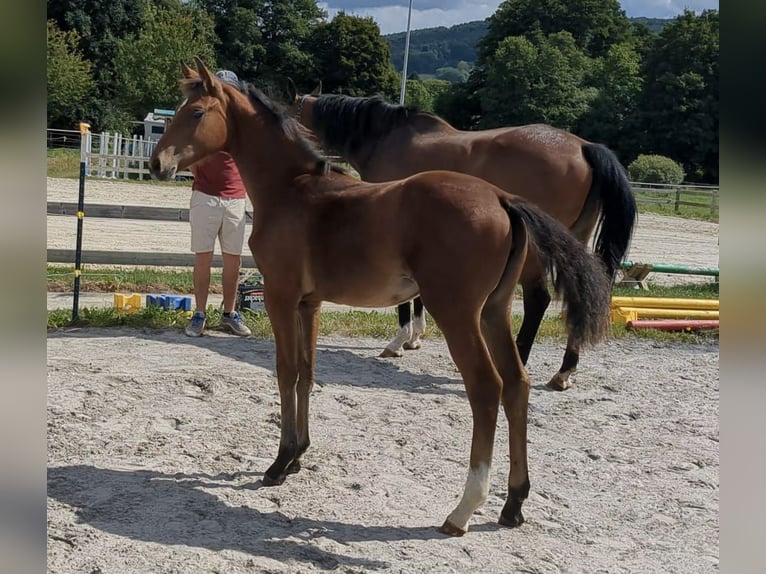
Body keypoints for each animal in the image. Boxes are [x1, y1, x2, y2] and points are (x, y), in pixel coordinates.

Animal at [287, 83, 636, 390]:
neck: (384, 135)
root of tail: (584, 147)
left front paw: (399, 340)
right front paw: (415, 337)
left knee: (538, 300)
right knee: (580, 298)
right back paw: (564, 371)